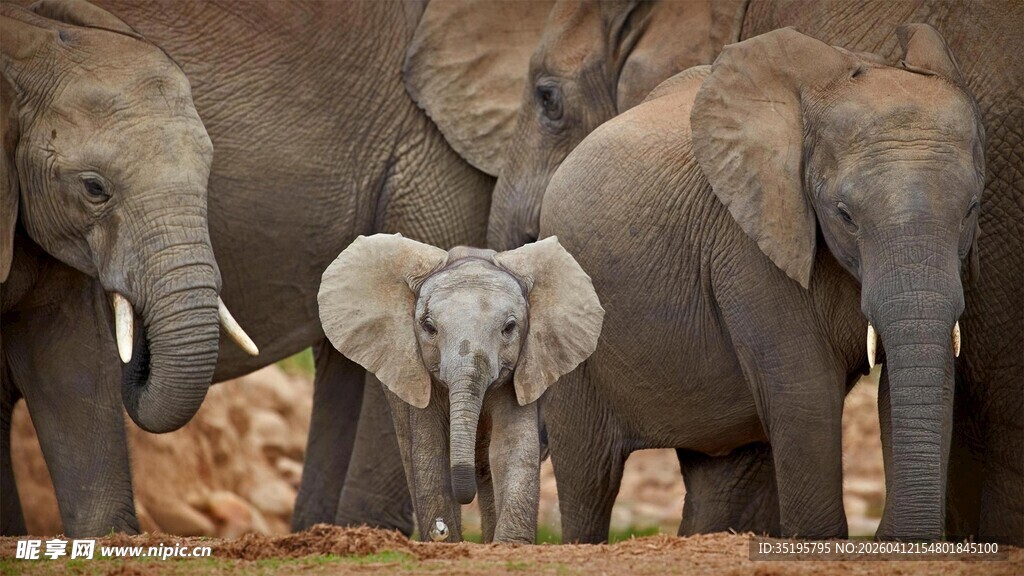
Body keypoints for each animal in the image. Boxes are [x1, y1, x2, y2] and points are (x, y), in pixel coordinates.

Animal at [316, 234, 602, 543]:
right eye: (429, 327)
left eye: (509, 327)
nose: (440, 528)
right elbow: (431, 452)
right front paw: (446, 539)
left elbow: (511, 448)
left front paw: (508, 545)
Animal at [537, 26, 984, 542]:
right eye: (845, 215)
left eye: (972, 209)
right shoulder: (747, 247)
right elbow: (805, 396)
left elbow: (911, 382)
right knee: (589, 475)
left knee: (718, 475)